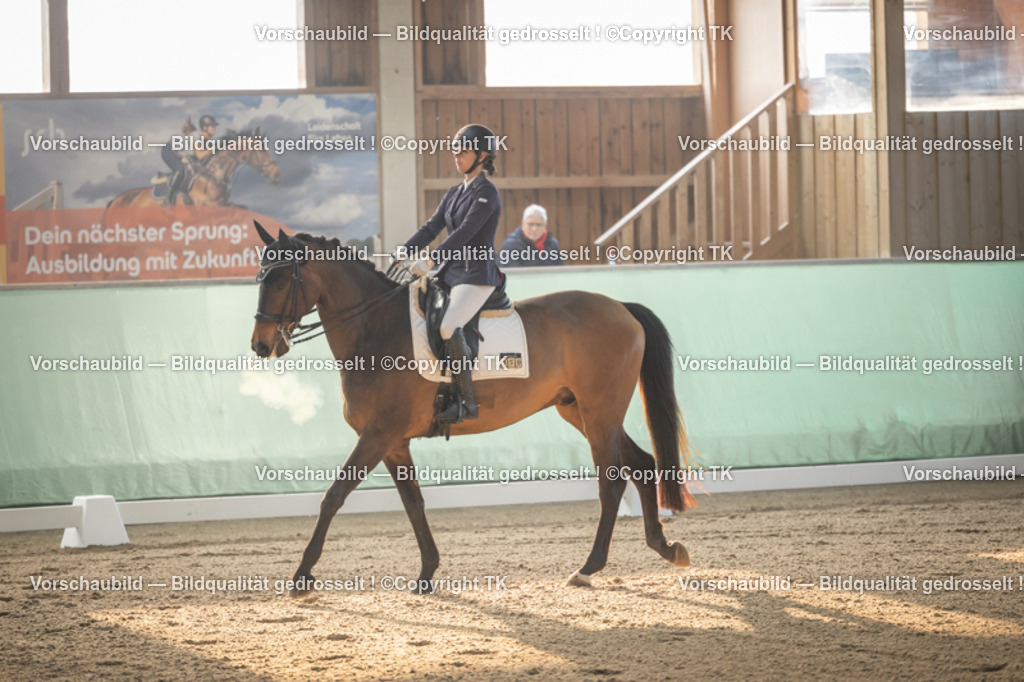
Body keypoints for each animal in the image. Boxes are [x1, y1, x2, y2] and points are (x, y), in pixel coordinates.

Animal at [249, 223, 696, 594]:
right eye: (260, 276)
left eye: (279, 279)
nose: (261, 345)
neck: (375, 330)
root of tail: (620, 306)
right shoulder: (393, 443)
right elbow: (413, 503)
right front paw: (427, 572)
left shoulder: (376, 436)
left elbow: (333, 496)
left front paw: (302, 576)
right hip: (581, 411)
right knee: (642, 464)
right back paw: (666, 547)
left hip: (600, 411)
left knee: (612, 481)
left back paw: (588, 568)